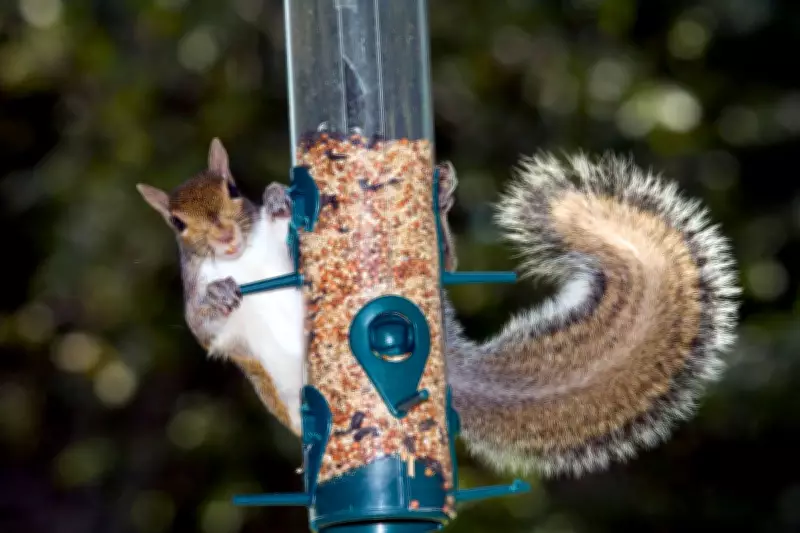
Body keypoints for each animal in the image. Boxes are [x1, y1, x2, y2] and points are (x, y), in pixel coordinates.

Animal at [138, 140, 739, 479]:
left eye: (232, 188)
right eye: (177, 224)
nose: (223, 237)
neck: (245, 256)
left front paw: (280, 197)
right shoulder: (199, 308)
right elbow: (204, 328)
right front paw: (220, 295)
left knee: (444, 256)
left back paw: (443, 195)